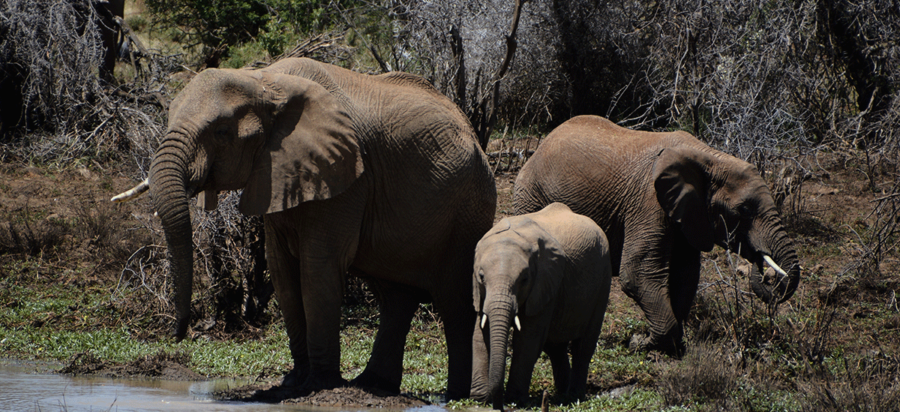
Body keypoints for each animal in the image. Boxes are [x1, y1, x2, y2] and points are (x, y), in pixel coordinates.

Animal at [110, 58, 500, 400]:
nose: (179, 333)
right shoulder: (277, 171)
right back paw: (373, 384)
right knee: (395, 298)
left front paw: (320, 385)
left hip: (468, 210)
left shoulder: (347, 175)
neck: (264, 80)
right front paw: (295, 381)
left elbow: (317, 269)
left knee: (452, 302)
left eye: (221, 133)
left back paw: (458, 395)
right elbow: (283, 272)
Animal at [472, 201, 612, 408]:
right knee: (555, 347)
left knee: (584, 345)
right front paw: (480, 398)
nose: (498, 404)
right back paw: (561, 394)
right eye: (481, 276)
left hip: (603, 279)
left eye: (524, 279)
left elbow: (528, 339)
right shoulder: (479, 290)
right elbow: (479, 332)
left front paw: (515, 400)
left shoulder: (545, 282)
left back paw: (574, 396)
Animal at [512, 116, 800, 354]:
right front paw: (641, 344)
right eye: (744, 210)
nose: (765, 270)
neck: (710, 157)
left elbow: (685, 276)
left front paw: (667, 344)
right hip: (530, 195)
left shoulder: (688, 213)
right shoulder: (648, 201)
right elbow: (637, 274)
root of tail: (540, 146)